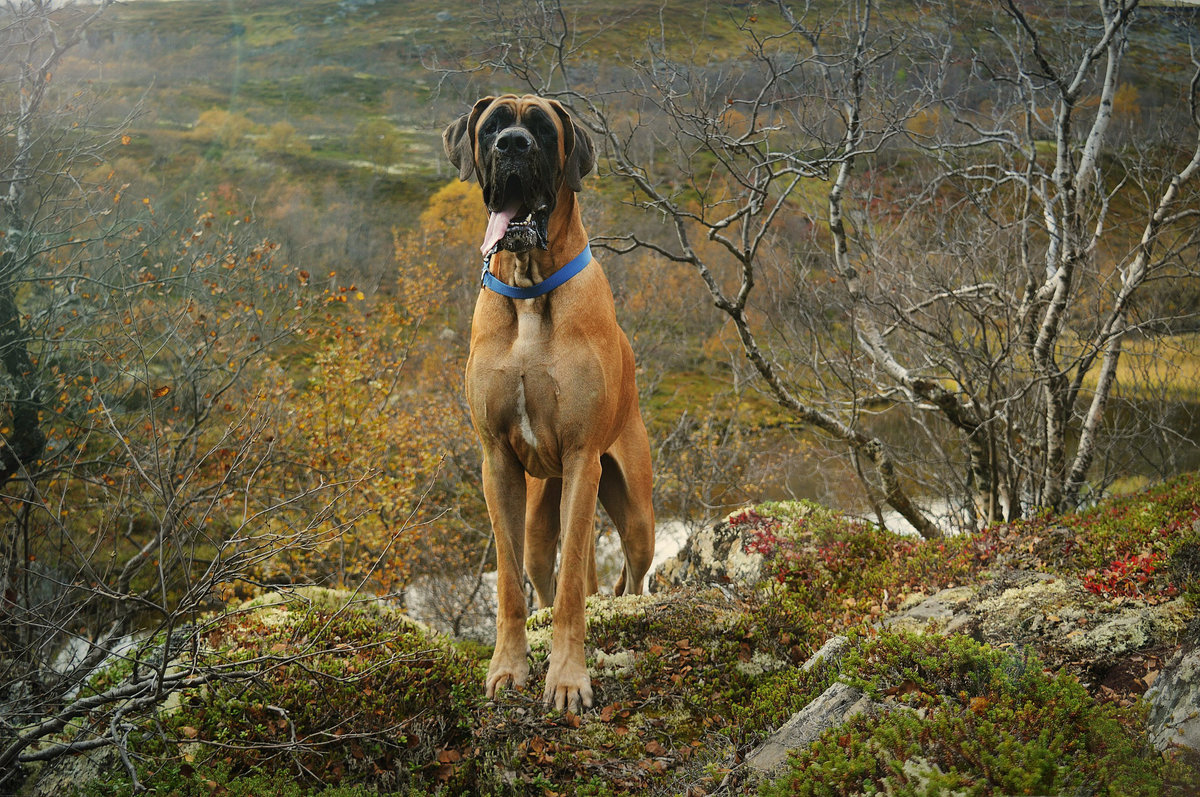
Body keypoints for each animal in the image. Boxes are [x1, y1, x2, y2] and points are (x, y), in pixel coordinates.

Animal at [446, 93, 657, 710]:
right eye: (492, 126)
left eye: (541, 127)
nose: (512, 144)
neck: (530, 289)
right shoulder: (496, 462)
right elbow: (511, 586)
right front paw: (507, 669)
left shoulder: (584, 458)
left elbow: (571, 596)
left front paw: (567, 679)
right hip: (544, 507)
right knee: (547, 571)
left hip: (634, 511)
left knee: (627, 577)